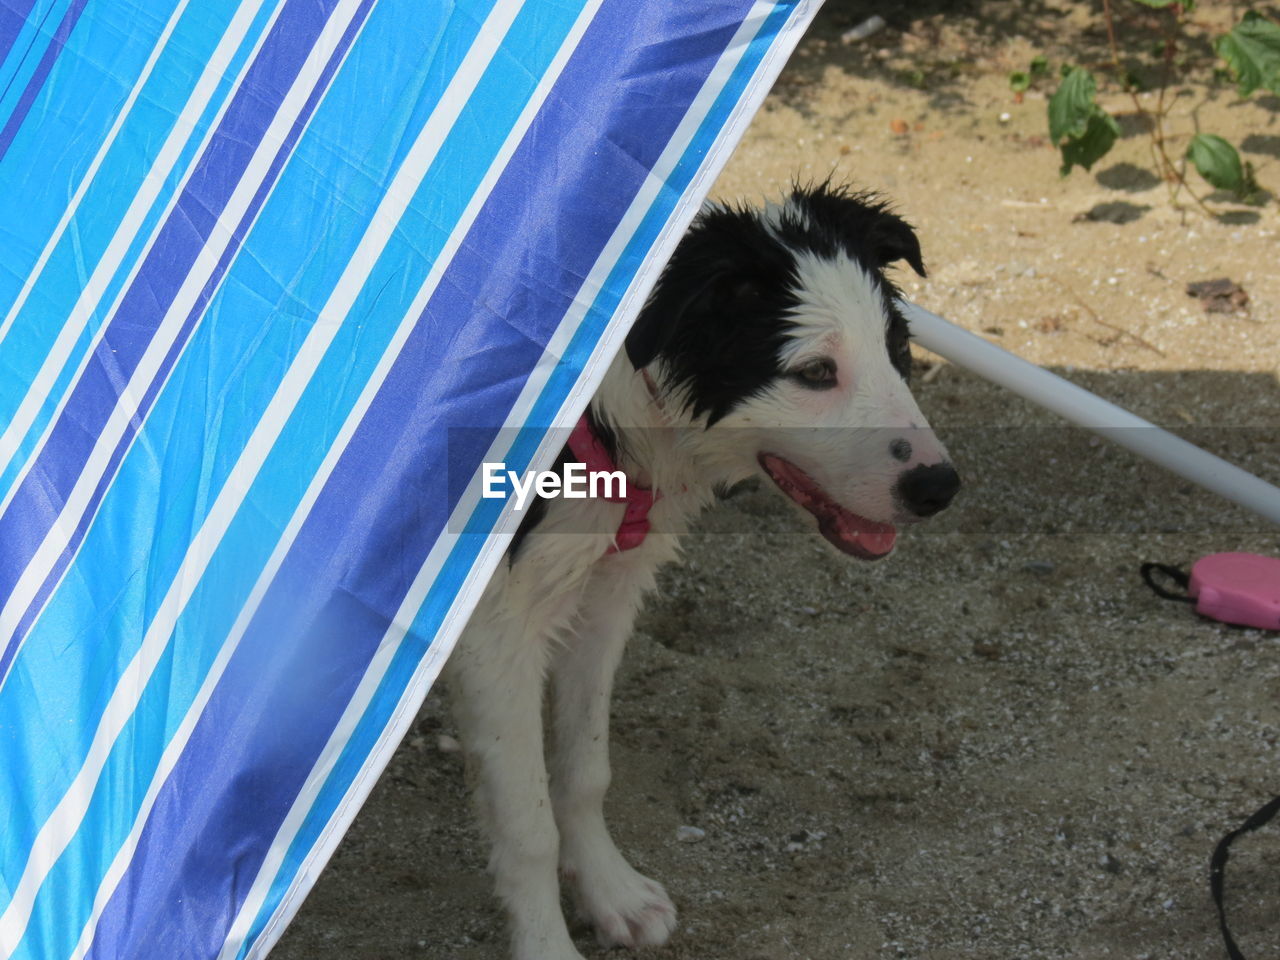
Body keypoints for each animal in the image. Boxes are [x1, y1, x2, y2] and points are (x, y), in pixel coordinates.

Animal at [450, 184, 962, 957]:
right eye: (815, 372)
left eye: (899, 347)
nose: (941, 488)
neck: (604, 409)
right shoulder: (497, 628)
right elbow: (527, 824)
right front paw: (547, 944)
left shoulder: (604, 591)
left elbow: (584, 770)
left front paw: (612, 893)